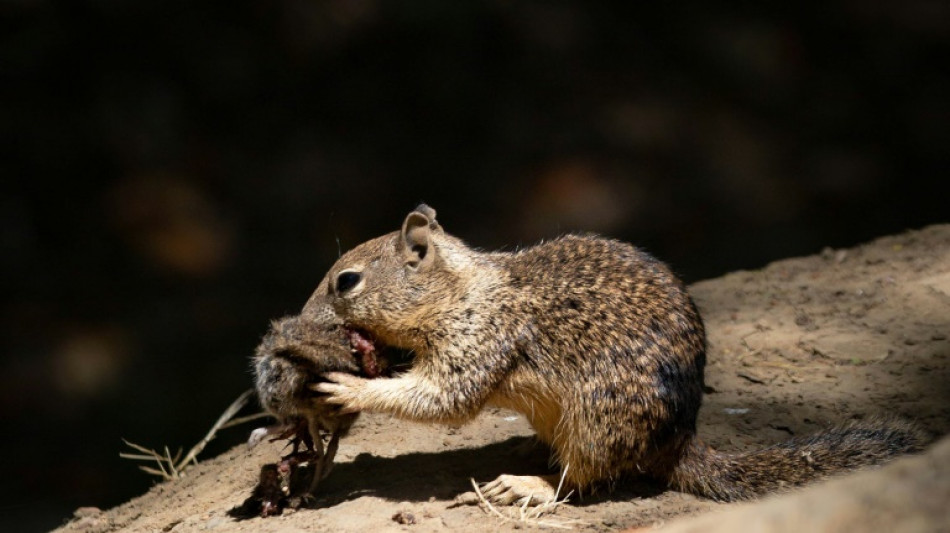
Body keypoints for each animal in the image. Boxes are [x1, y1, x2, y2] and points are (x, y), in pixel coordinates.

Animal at [286, 204, 924, 502]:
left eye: (346, 282)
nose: (303, 318)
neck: (461, 290)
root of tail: (678, 441)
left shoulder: (480, 339)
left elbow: (444, 398)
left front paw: (350, 388)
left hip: (598, 421)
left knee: (582, 479)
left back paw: (527, 484)